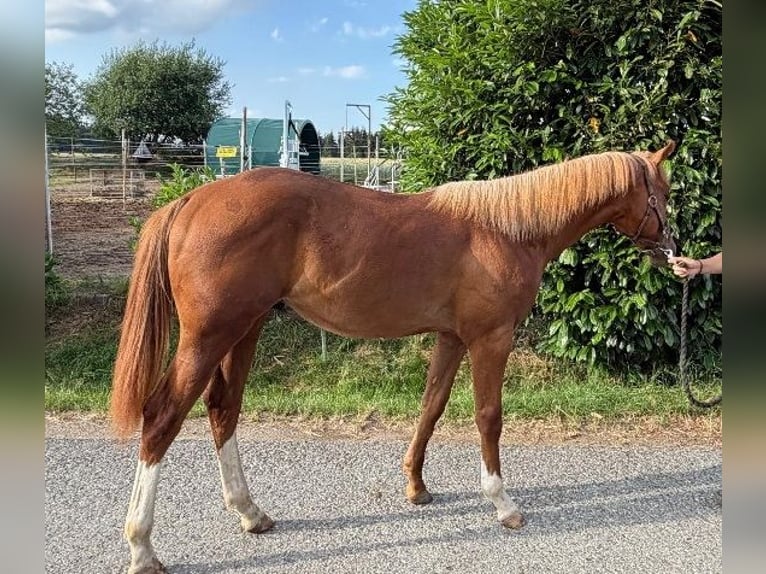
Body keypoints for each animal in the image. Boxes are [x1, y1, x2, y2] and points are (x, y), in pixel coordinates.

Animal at [111, 141, 676, 573]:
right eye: (663, 194)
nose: (671, 248)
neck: (506, 230)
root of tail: (189, 201)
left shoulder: (451, 339)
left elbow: (431, 408)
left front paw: (416, 486)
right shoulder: (491, 339)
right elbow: (488, 417)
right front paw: (502, 503)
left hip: (244, 331)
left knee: (222, 410)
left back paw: (250, 512)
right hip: (209, 336)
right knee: (162, 418)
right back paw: (141, 547)